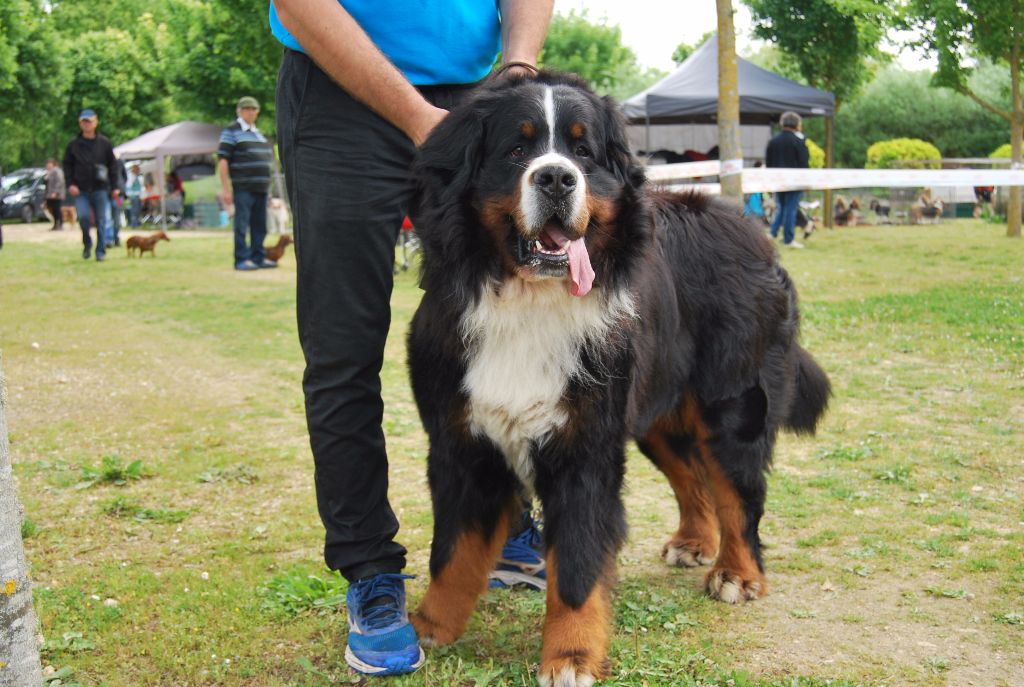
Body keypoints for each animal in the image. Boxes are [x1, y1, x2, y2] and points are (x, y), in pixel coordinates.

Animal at [403, 71, 827, 687]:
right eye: (516, 150)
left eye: (583, 152)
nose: (557, 177)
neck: (529, 303)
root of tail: (748, 228)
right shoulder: (462, 441)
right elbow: (452, 552)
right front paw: (428, 626)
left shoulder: (585, 450)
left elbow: (578, 568)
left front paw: (571, 657)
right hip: (656, 414)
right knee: (693, 479)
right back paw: (694, 542)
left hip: (731, 408)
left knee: (738, 495)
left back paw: (737, 573)